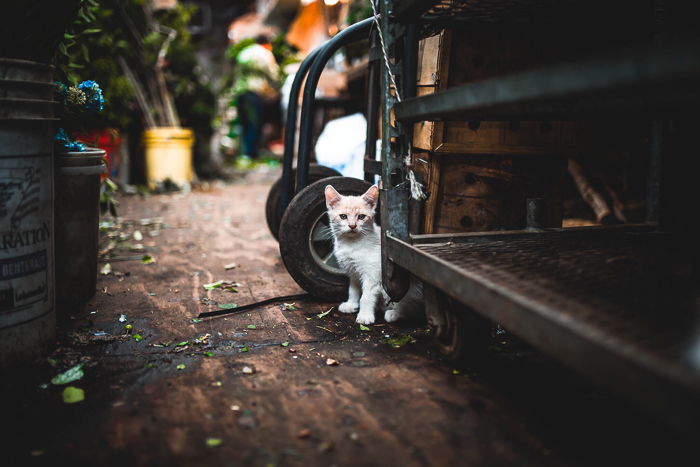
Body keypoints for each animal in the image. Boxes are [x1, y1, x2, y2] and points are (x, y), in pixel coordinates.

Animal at [326, 184, 424, 326]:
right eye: (343, 216)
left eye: (361, 216)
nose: (352, 226)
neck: (351, 243)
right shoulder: (353, 272)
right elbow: (353, 290)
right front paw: (351, 304)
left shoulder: (372, 275)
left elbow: (366, 297)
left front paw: (365, 316)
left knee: (413, 309)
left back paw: (394, 313)